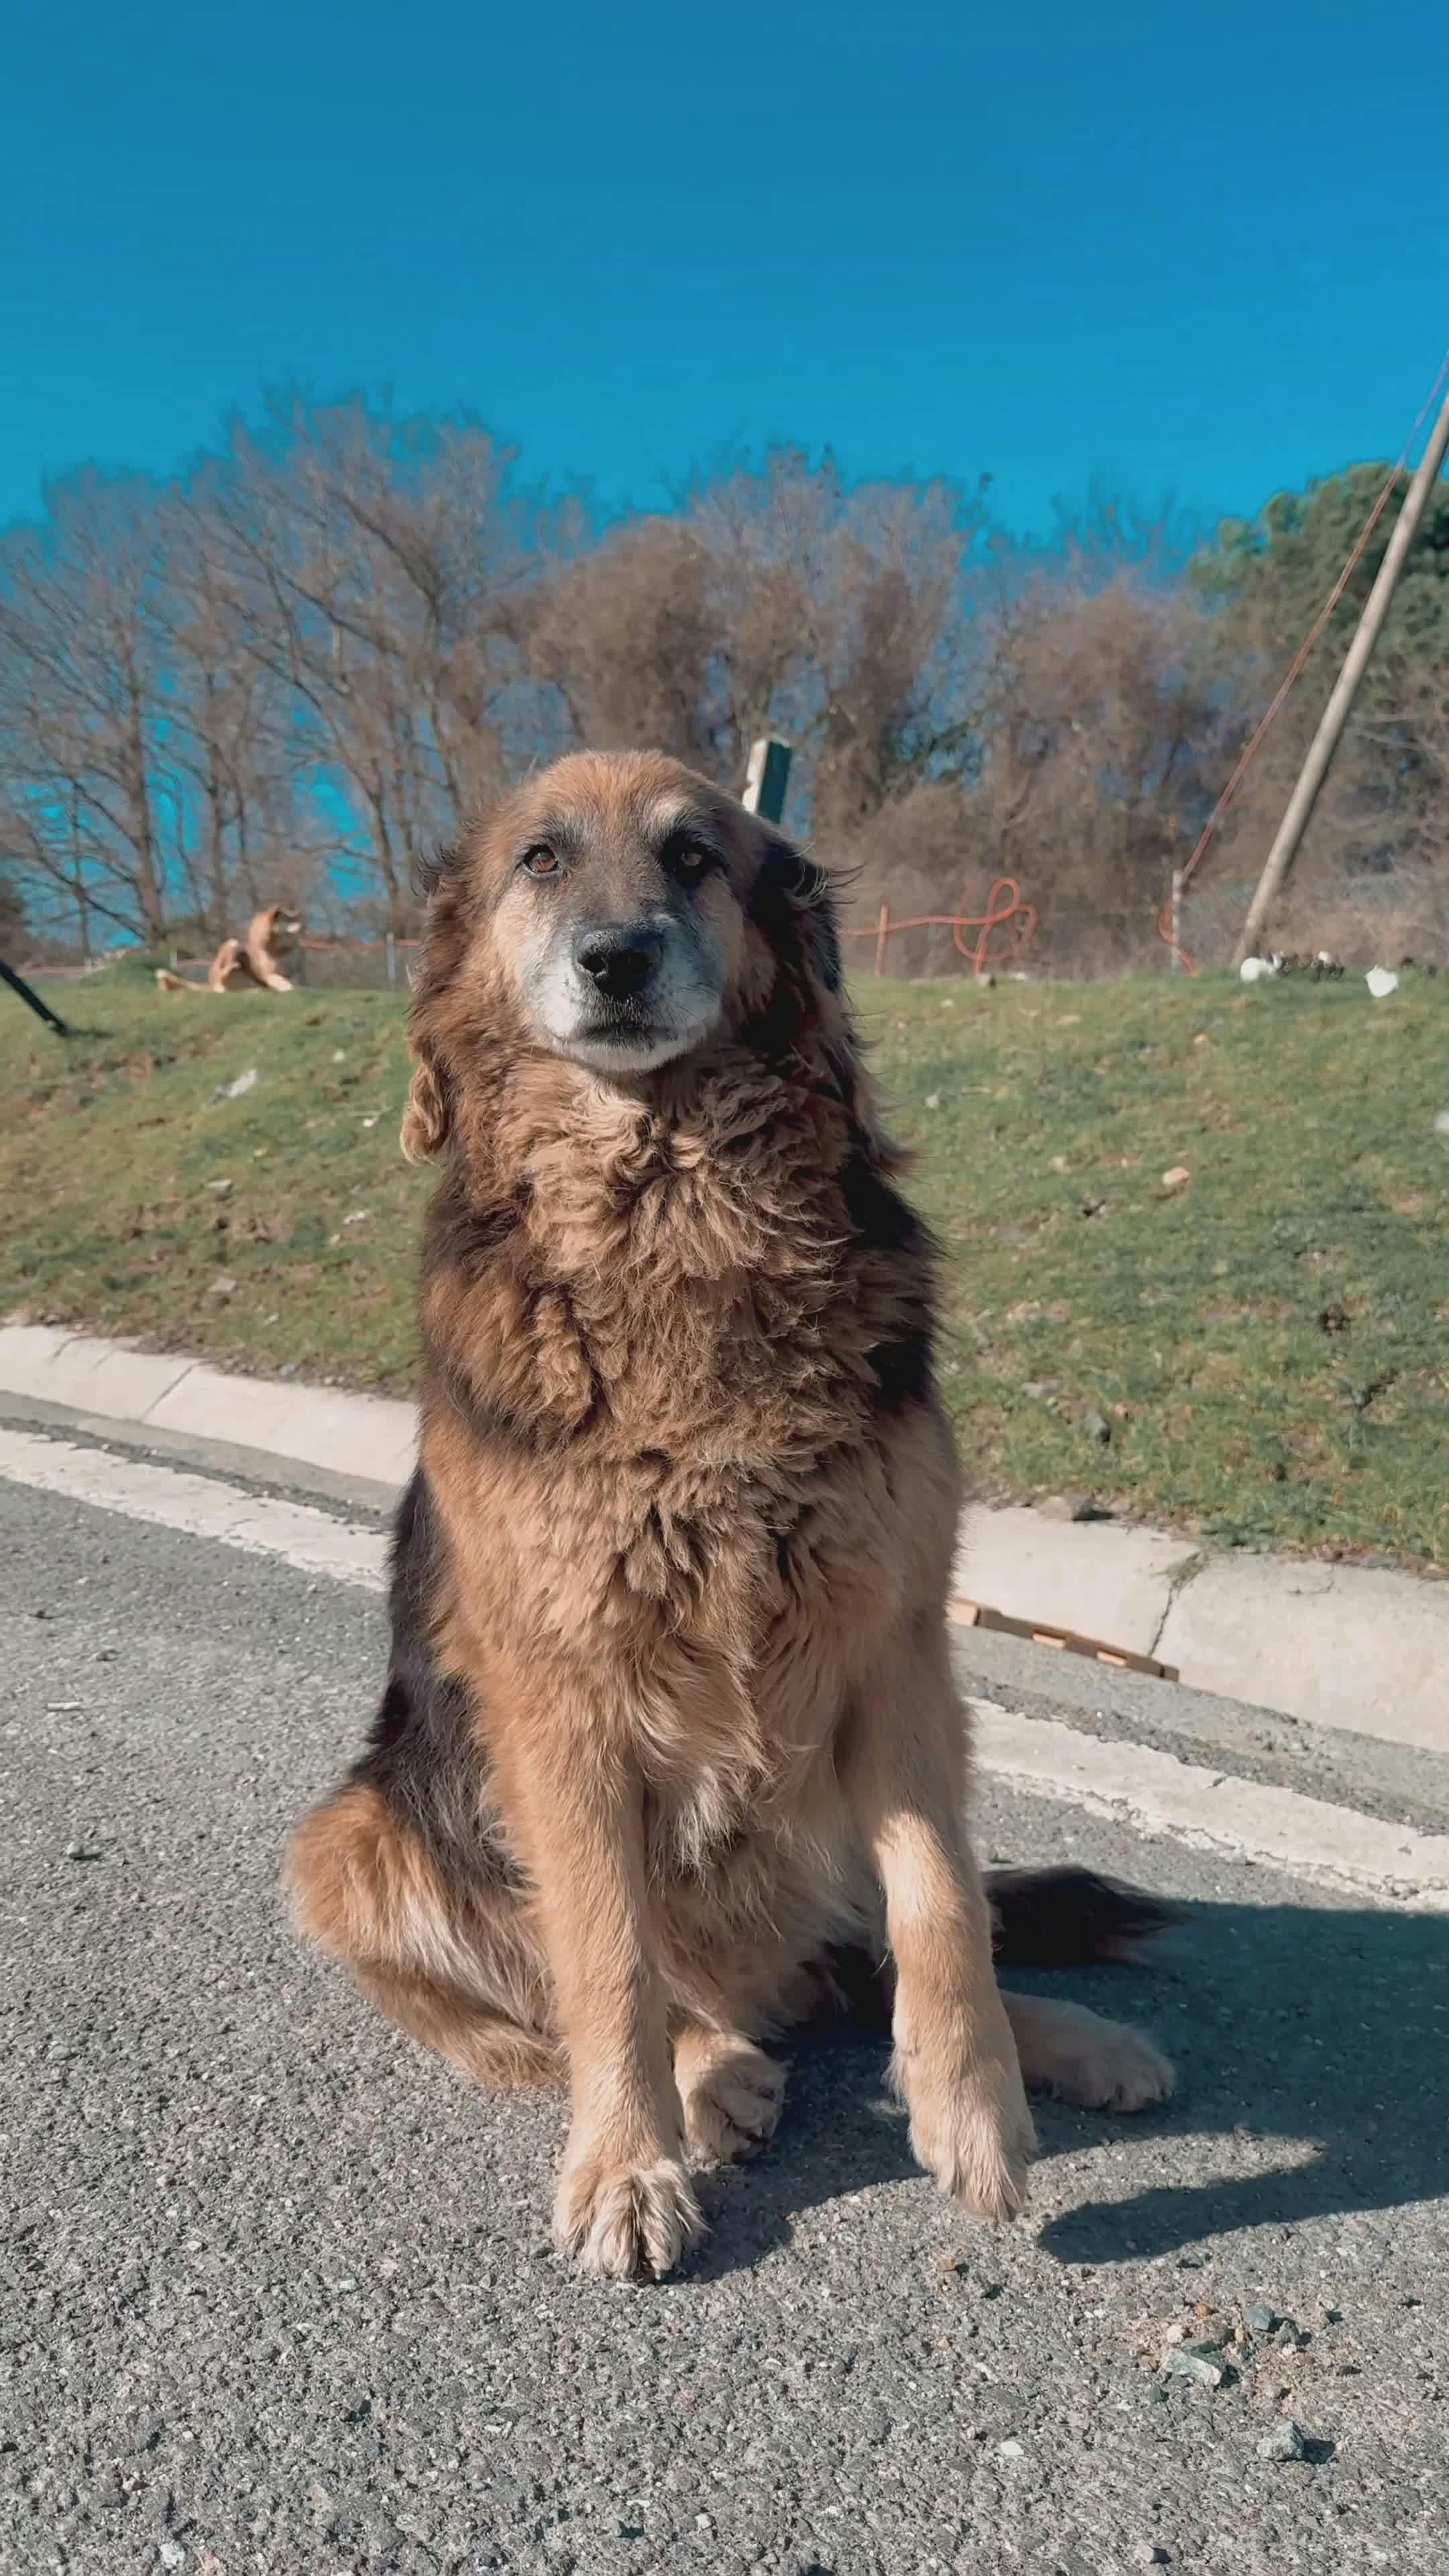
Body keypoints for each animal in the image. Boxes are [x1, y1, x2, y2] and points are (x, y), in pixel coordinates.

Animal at [286, 750, 1174, 2281]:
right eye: (540, 860)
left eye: (694, 857)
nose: (616, 958)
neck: (672, 1210)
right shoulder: (564, 1699)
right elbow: (605, 1957)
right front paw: (628, 2162)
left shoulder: (896, 1650)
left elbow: (945, 1906)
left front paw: (974, 2105)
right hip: (353, 1837)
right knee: (584, 1994)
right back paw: (713, 2070)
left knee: (889, 1946)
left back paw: (1067, 2044)